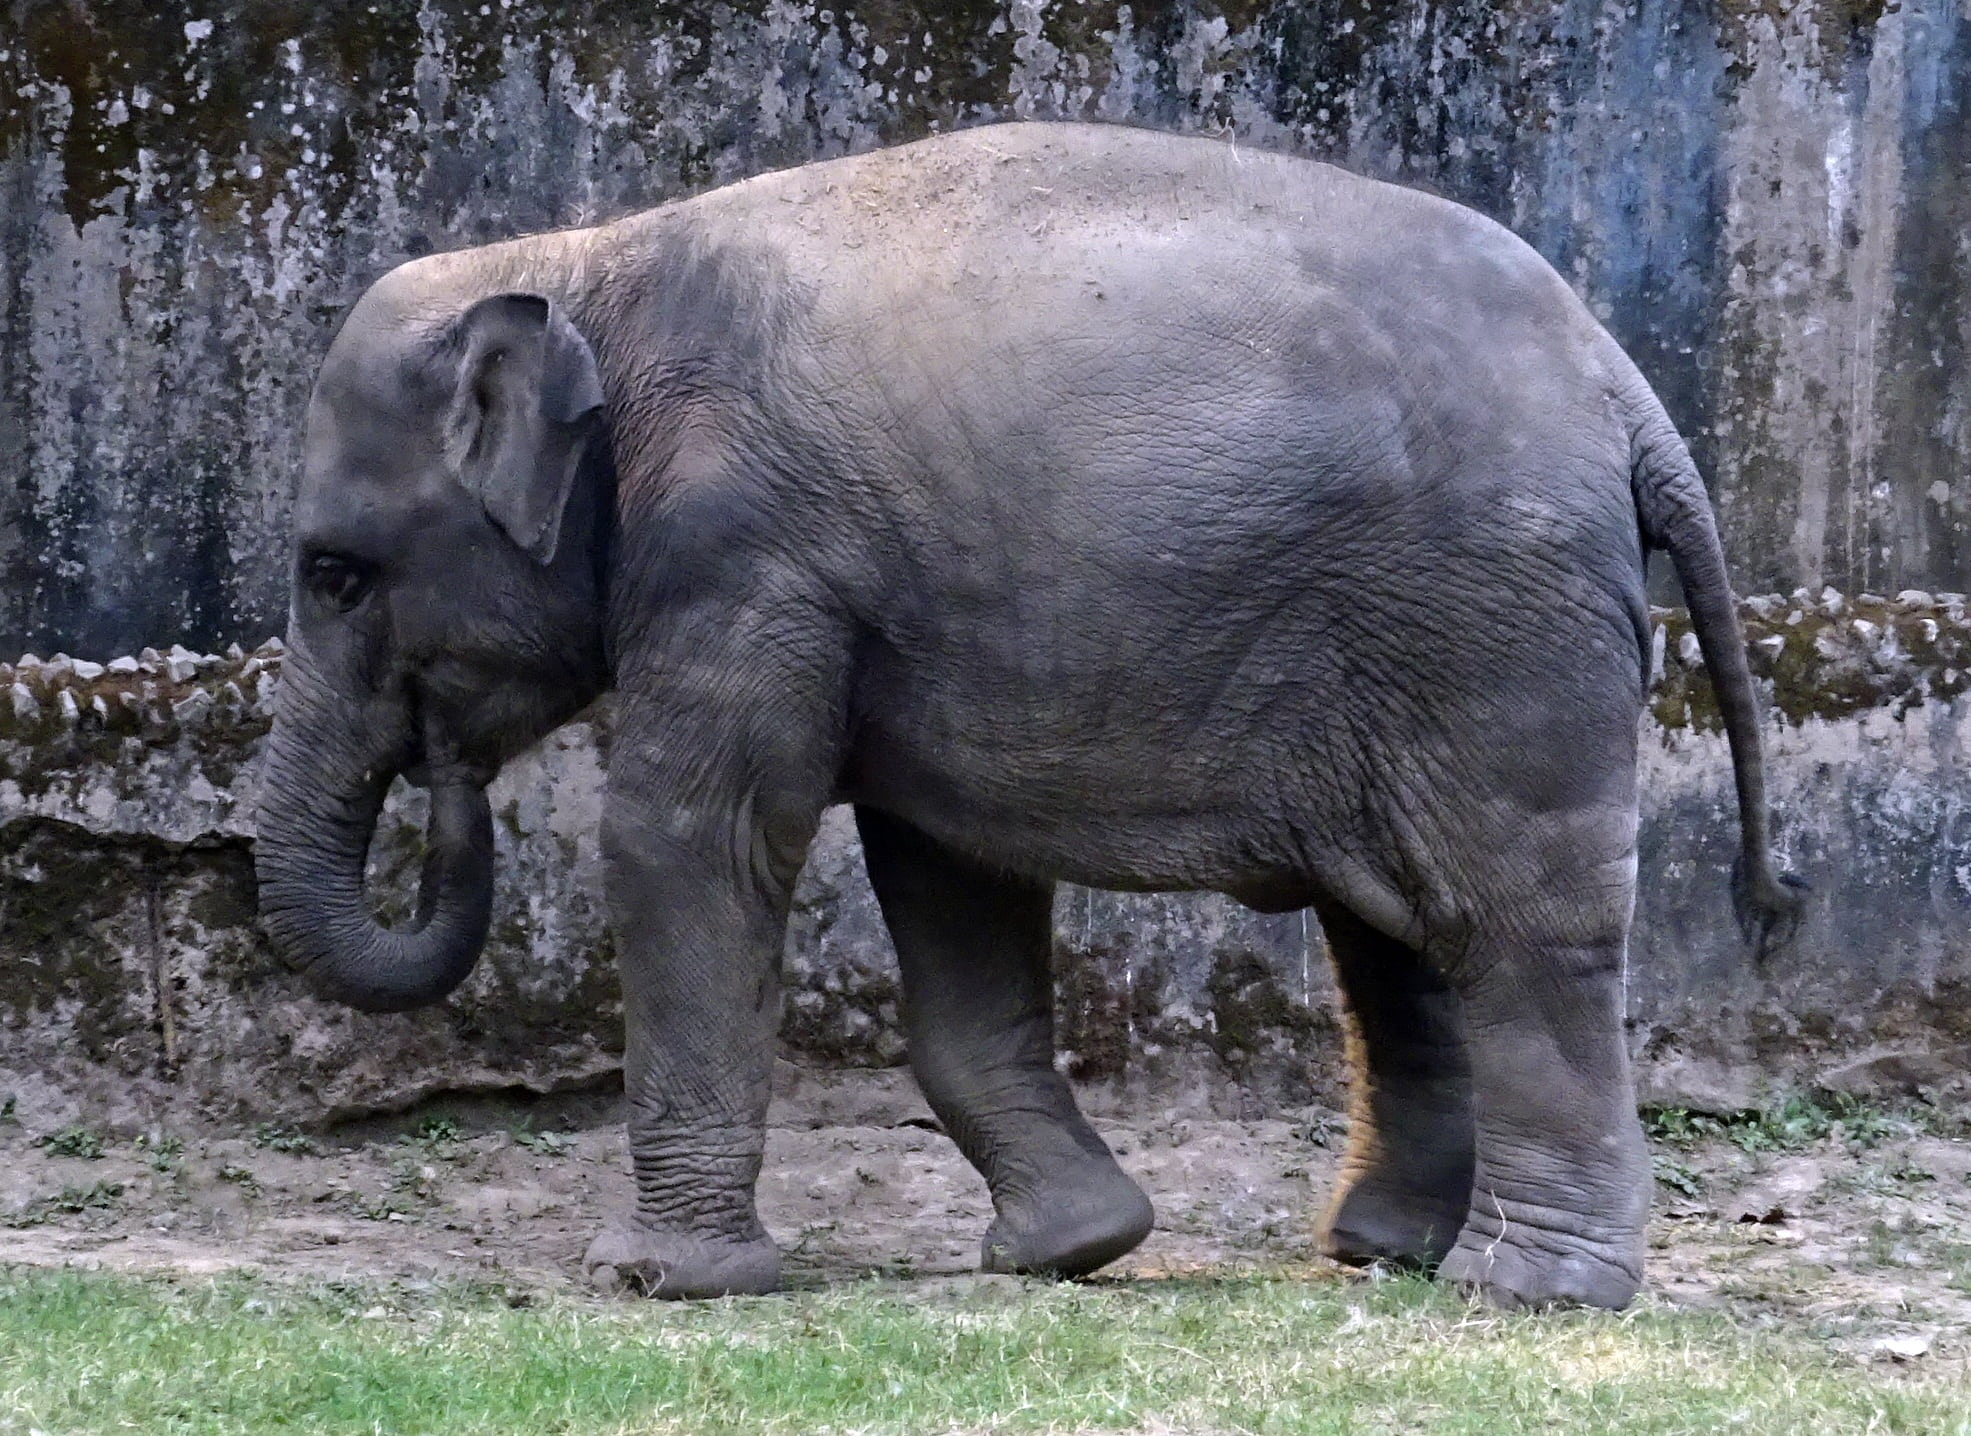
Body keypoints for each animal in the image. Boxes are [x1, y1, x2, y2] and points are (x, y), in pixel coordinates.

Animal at [254, 120, 1802, 1310]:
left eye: (334, 572)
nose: (444, 766)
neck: (588, 261)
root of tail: (1624, 389)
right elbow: (950, 874)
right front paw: (1072, 1249)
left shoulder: (742, 552)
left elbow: (692, 842)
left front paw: (655, 1280)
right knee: (1398, 926)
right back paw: (1382, 1252)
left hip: (1488, 624)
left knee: (1511, 922)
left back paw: (1524, 1289)